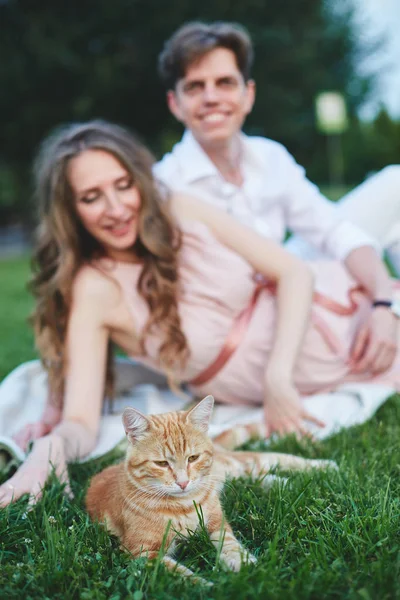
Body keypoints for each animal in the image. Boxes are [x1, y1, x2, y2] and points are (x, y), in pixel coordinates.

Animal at [86, 394, 336, 580]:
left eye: (193, 458)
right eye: (162, 463)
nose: (183, 482)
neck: (183, 506)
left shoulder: (218, 524)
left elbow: (230, 543)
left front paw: (241, 562)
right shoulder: (140, 553)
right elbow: (178, 575)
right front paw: (204, 584)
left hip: (242, 463)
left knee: (278, 458)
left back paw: (324, 466)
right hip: (240, 473)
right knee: (261, 475)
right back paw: (285, 483)